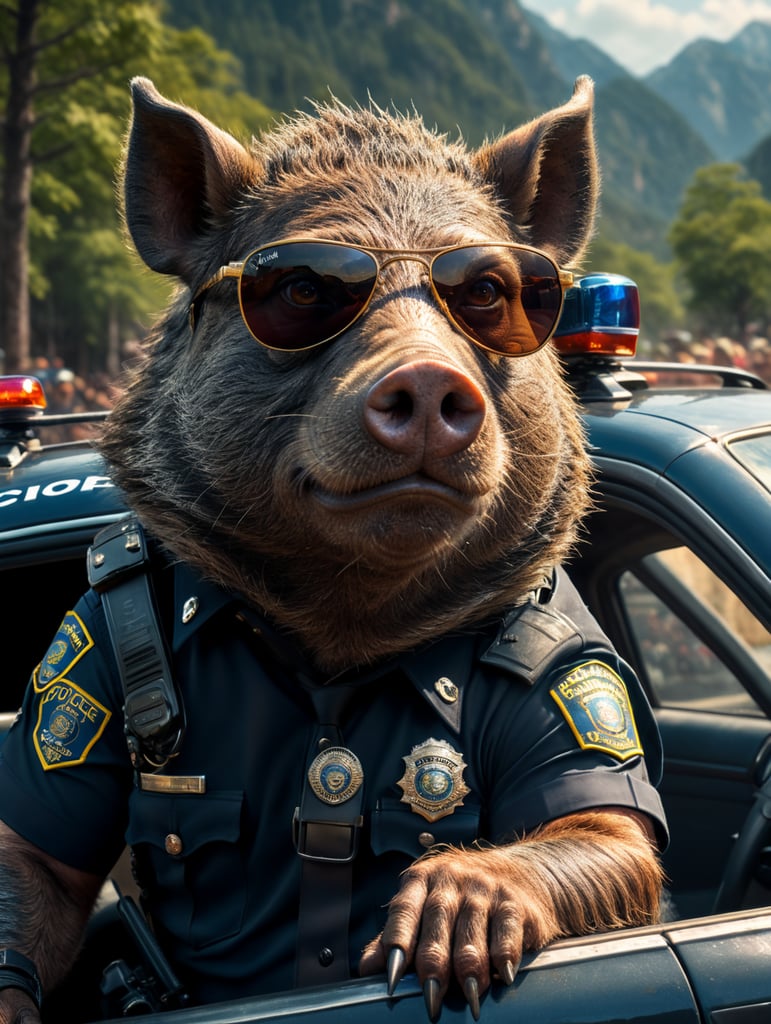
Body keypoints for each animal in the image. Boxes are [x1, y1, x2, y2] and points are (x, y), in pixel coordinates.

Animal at [0, 77, 665, 1024]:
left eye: (489, 291)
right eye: (305, 289)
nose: (427, 377)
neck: (341, 633)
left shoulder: (568, 660)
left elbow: (607, 828)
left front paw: (446, 926)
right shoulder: (84, 641)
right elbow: (38, 857)